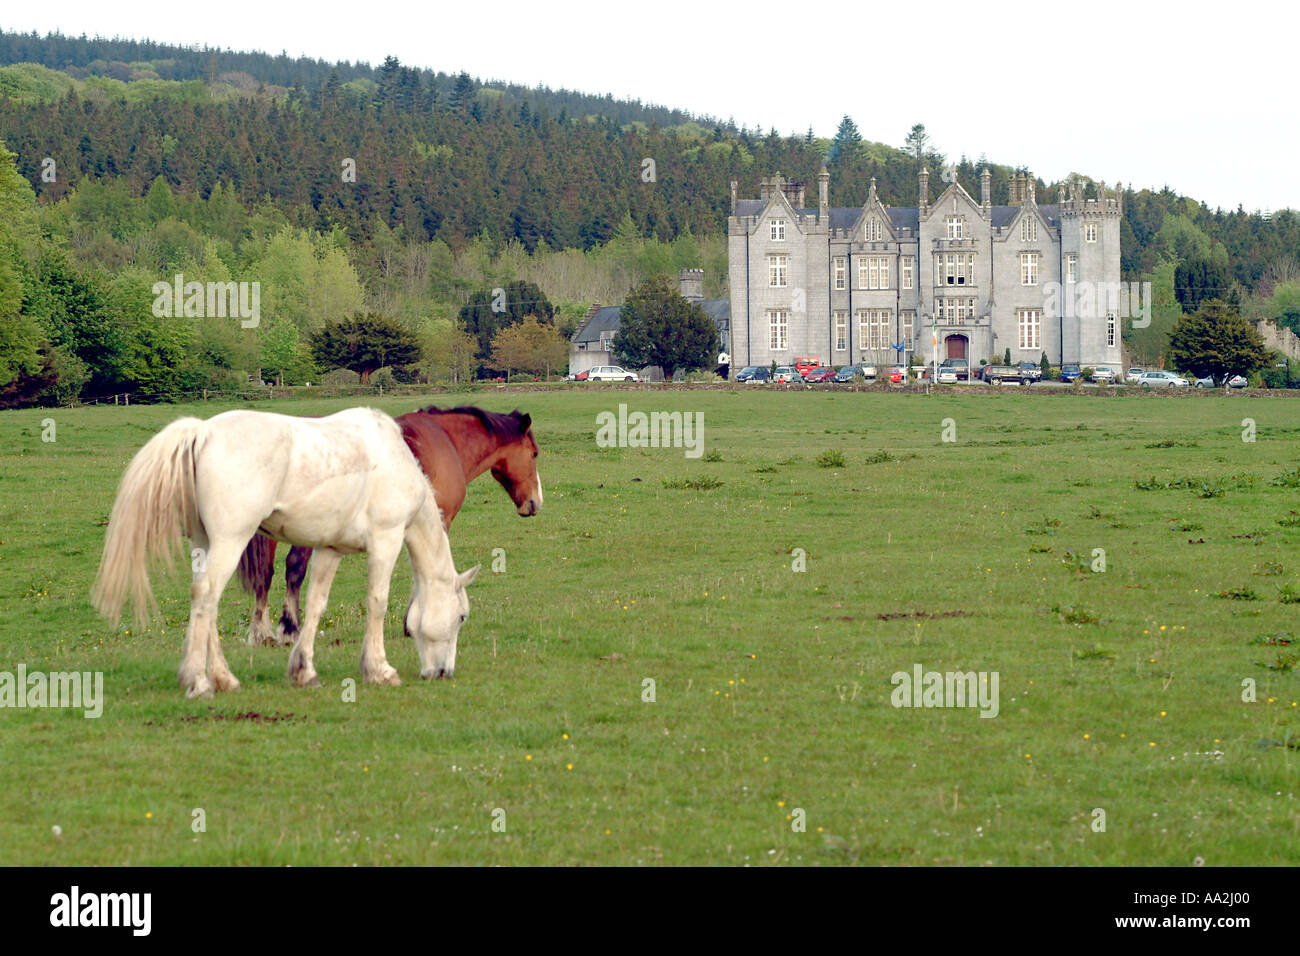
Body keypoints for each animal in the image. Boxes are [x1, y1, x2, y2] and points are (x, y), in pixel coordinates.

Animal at [91, 408, 480, 697]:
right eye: (461, 617)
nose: (443, 672)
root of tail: (202, 431)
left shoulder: (330, 549)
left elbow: (315, 604)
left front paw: (303, 670)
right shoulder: (386, 539)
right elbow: (378, 602)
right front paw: (379, 669)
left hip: (205, 544)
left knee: (207, 603)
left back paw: (222, 678)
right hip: (231, 541)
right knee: (206, 596)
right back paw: (199, 681)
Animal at [239, 403, 538, 642]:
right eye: (534, 453)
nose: (535, 501)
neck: (447, 440)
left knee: (266, 574)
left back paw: (261, 632)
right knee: (293, 568)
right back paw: (289, 629)